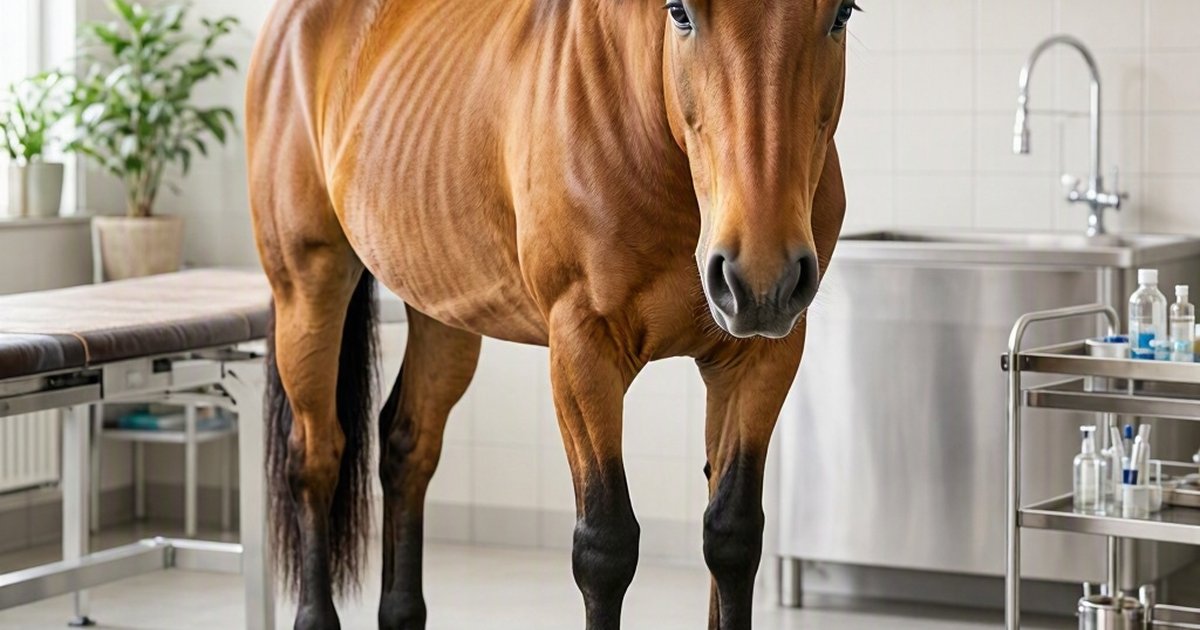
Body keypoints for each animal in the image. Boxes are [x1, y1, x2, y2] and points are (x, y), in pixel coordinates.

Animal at [245, 0, 853, 628]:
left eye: (842, 14)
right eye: (679, 12)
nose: (761, 278)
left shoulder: (759, 360)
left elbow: (732, 536)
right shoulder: (583, 351)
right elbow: (605, 547)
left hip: (443, 312)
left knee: (406, 448)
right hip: (308, 289)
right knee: (315, 457)